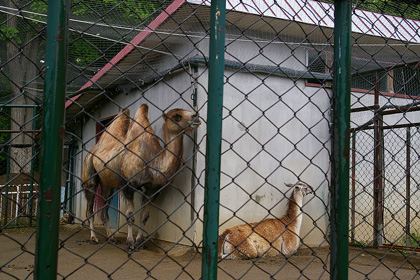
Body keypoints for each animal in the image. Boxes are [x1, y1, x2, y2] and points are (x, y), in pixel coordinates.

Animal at [83, 103, 201, 252]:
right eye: (177, 116)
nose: (196, 117)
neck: (151, 160)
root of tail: (94, 149)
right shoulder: (128, 185)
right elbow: (130, 216)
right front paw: (130, 243)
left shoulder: (152, 189)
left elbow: (144, 217)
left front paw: (140, 242)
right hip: (89, 174)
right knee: (90, 209)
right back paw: (93, 238)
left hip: (107, 183)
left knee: (104, 209)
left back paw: (112, 238)